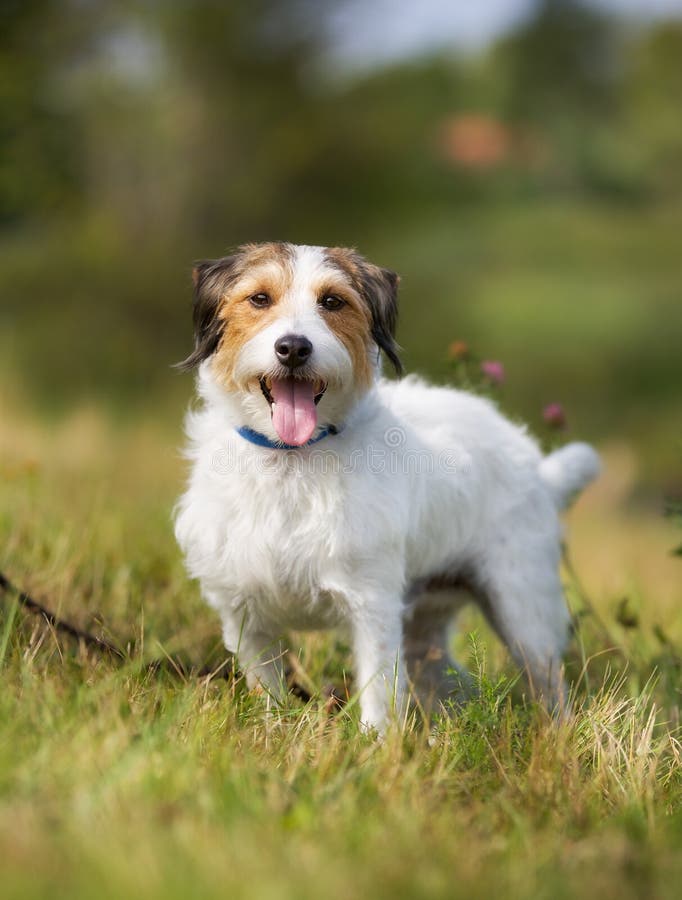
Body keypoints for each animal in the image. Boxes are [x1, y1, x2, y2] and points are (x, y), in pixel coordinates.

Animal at [173, 241, 596, 732]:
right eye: (259, 298)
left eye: (333, 301)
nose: (293, 348)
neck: (291, 460)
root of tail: (542, 471)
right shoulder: (244, 614)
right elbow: (268, 690)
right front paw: (273, 731)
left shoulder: (371, 605)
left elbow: (379, 692)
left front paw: (374, 744)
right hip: (428, 626)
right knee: (452, 683)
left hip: (523, 611)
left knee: (550, 688)